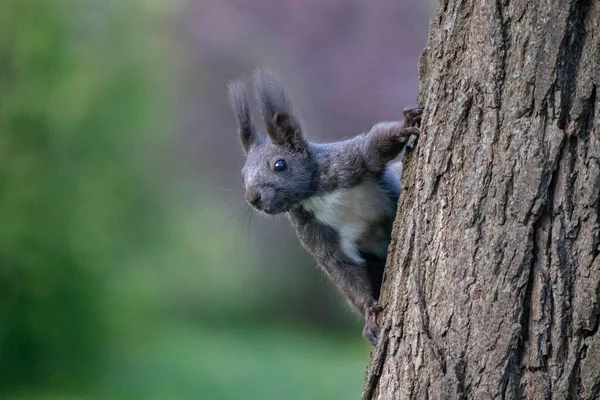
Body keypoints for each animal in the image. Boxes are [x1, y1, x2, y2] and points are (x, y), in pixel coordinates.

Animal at [226, 69, 422, 344]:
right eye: (243, 174)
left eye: (280, 165)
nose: (253, 197)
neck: (314, 195)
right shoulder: (317, 234)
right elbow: (343, 268)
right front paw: (369, 316)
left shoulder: (347, 161)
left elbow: (373, 149)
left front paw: (405, 125)